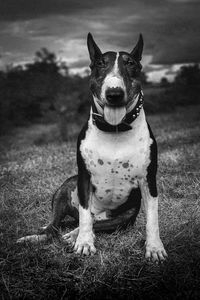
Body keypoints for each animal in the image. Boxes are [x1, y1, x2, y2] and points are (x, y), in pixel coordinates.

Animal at [17, 33, 167, 262]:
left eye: (130, 64)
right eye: (100, 64)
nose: (114, 93)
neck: (114, 130)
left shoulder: (148, 180)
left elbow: (153, 218)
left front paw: (155, 247)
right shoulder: (84, 178)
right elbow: (85, 216)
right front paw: (85, 243)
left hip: (122, 218)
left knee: (95, 223)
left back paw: (72, 234)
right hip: (67, 186)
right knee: (58, 226)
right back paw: (41, 236)